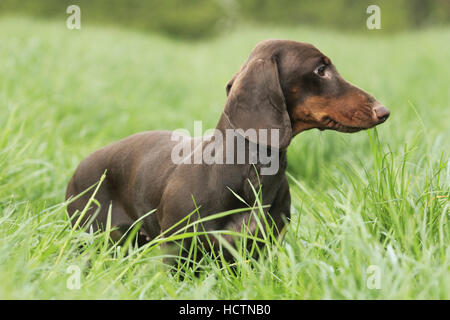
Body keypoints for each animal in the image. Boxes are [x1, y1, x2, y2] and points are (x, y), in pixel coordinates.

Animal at [65, 39, 388, 260]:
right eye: (320, 70)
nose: (383, 111)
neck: (250, 171)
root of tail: (79, 167)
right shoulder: (178, 252)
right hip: (91, 239)